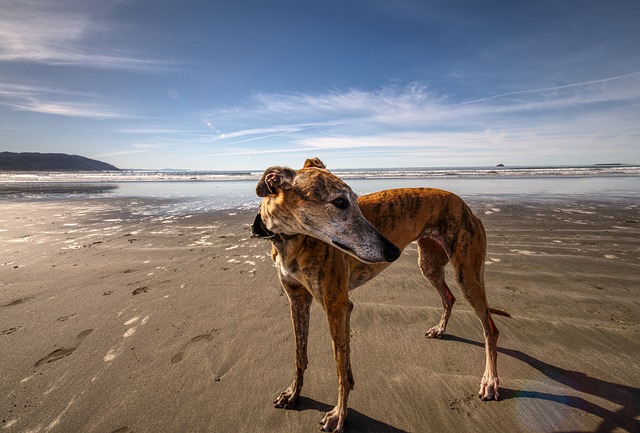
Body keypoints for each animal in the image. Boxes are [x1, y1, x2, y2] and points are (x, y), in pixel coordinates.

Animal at [252, 159, 508, 432]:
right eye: (340, 202)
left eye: (355, 200)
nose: (394, 251)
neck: (292, 240)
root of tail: (464, 205)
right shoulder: (298, 300)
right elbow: (302, 355)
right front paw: (293, 393)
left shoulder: (337, 305)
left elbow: (340, 369)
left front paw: (339, 415)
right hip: (429, 263)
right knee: (449, 297)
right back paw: (440, 330)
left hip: (467, 275)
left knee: (490, 328)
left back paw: (490, 381)